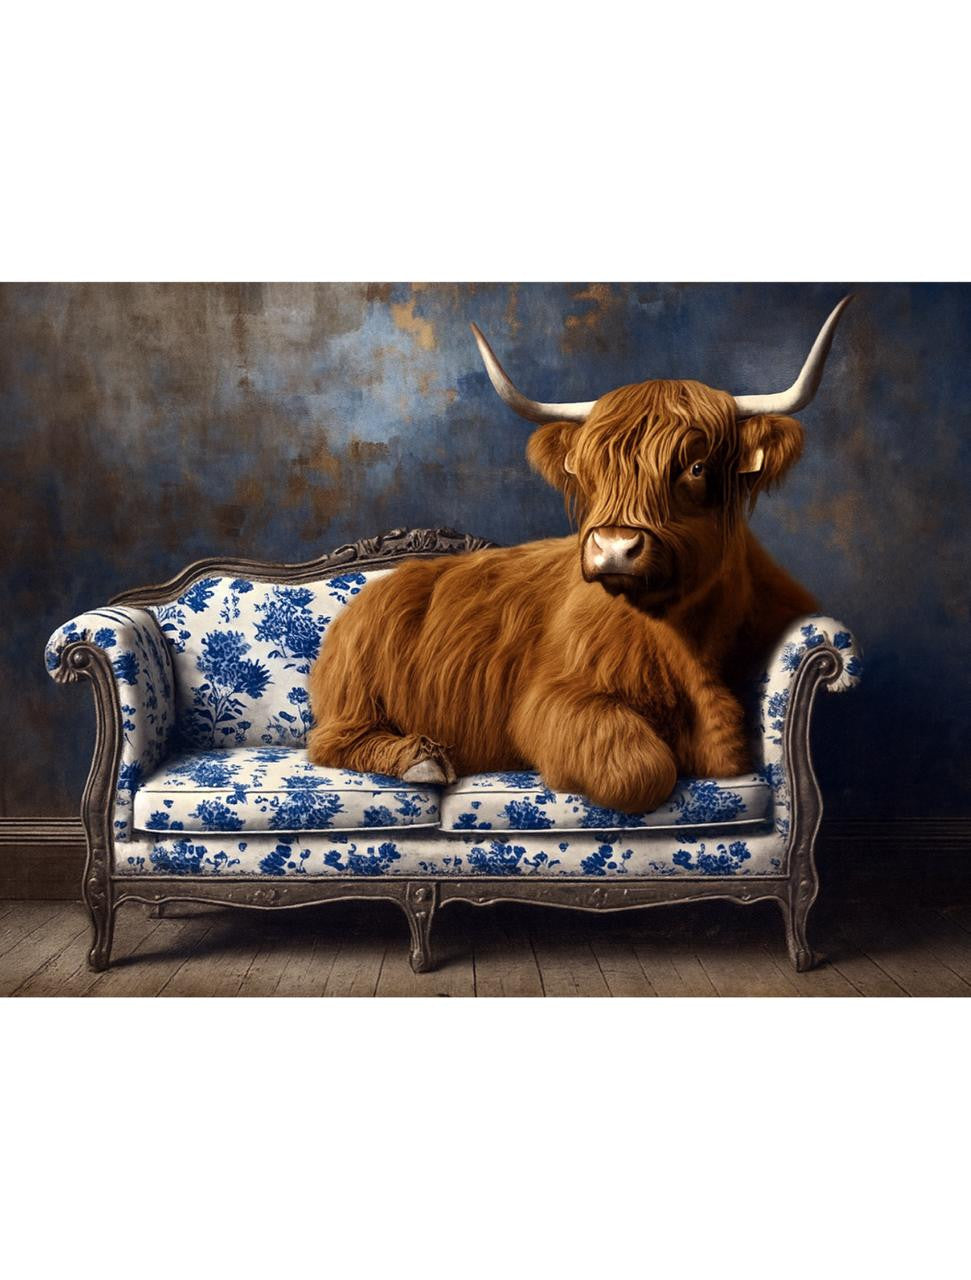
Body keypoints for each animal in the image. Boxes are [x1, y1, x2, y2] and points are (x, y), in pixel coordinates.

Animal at [307, 297, 851, 813]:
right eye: (589, 470)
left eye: (696, 467)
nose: (614, 547)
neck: (686, 643)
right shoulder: (552, 697)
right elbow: (642, 767)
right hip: (356, 696)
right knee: (331, 741)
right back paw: (420, 758)